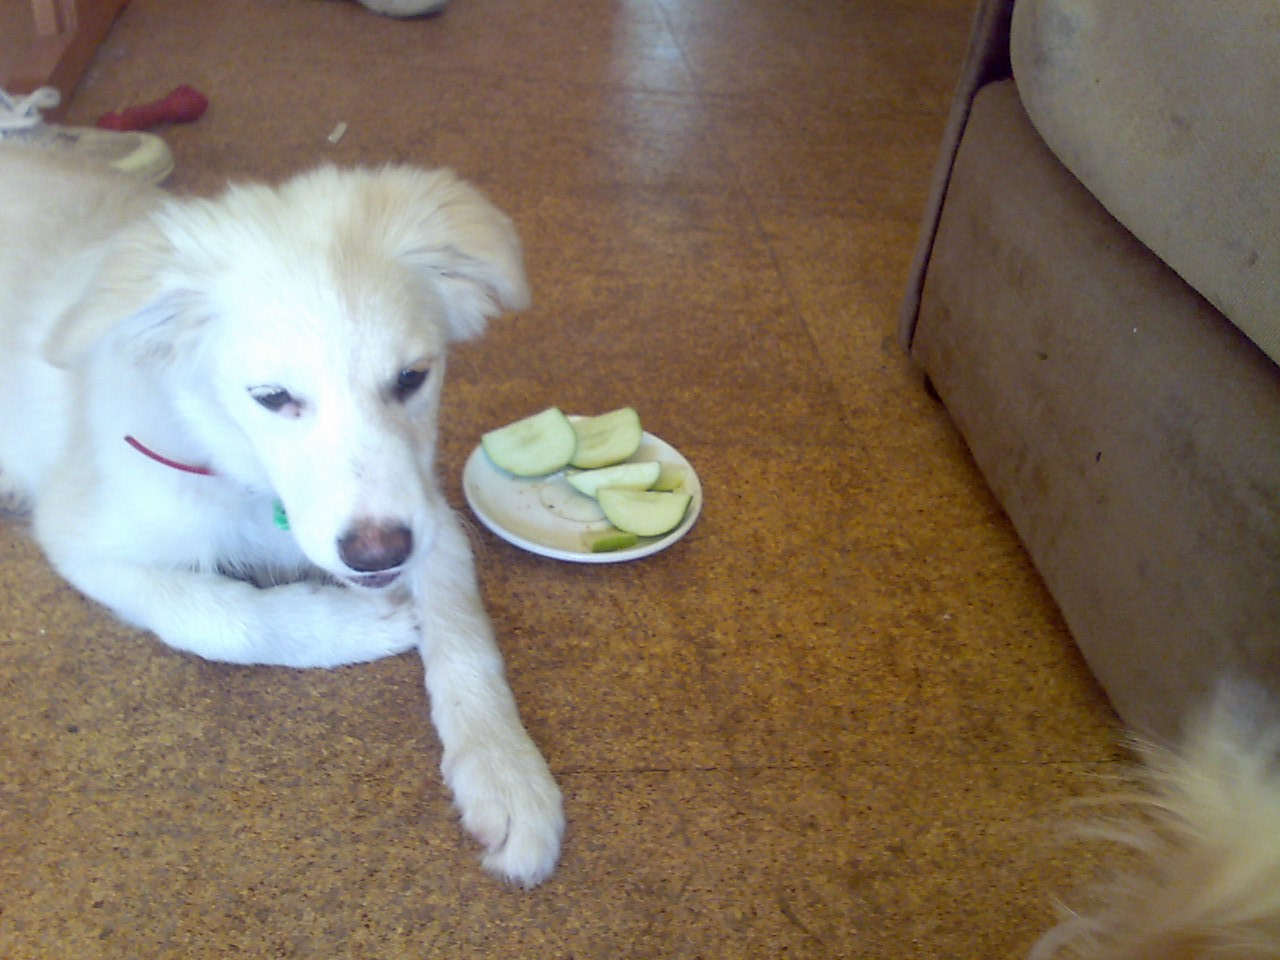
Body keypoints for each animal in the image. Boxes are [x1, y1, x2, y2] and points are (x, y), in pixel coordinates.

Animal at [0, 145, 563, 887]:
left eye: (412, 378)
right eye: (271, 397)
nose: (377, 555)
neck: (247, 478)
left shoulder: (426, 517)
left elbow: (464, 633)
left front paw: (506, 773)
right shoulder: (81, 533)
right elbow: (210, 615)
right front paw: (352, 626)